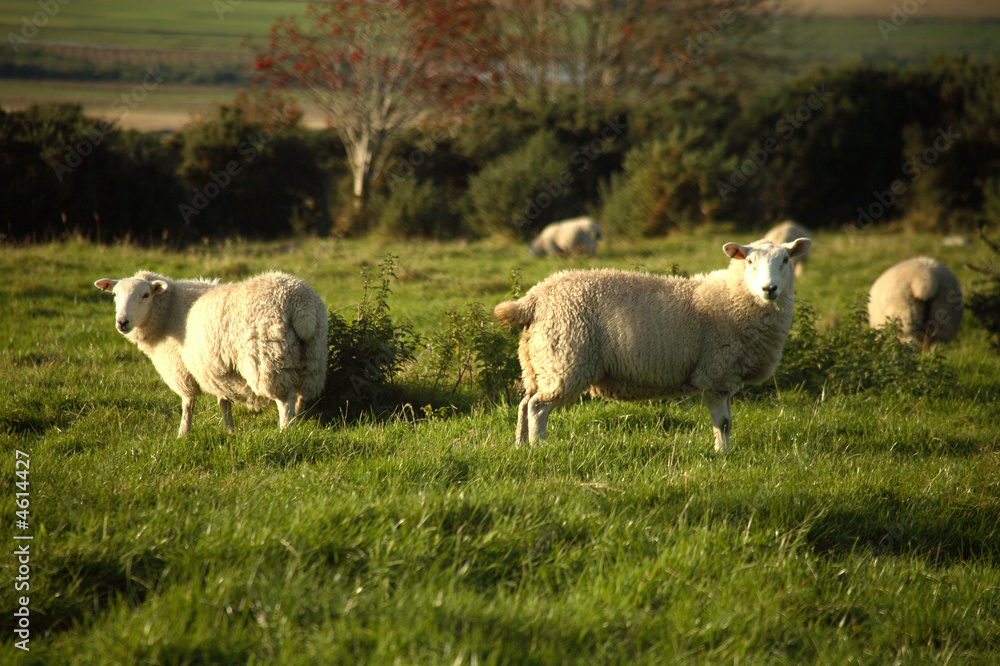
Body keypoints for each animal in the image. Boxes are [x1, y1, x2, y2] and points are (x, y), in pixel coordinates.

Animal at [94, 270, 328, 436]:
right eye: (114, 295)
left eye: (145, 295)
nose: (122, 322)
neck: (169, 311)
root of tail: (301, 306)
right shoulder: (217, 370)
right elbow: (224, 402)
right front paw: (230, 431)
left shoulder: (182, 368)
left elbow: (188, 403)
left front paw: (182, 434)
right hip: (312, 358)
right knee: (302, 397)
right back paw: (299, 425)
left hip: (268, 361)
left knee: (285, 401)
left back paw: (284, 432)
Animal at [494, 237, 811, 452]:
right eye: (749, 262)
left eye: (785, 260)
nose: (770, 289)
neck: (735, 297)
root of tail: (535, 297)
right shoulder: (715, 373)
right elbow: (722, 422)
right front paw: (723, 455)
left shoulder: (724, 376)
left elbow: (728, 421)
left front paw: (725, 452)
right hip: (565, 361)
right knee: (537, 407)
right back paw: (540, 448)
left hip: (538, 362)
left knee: (523, 404)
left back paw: (520, 446)